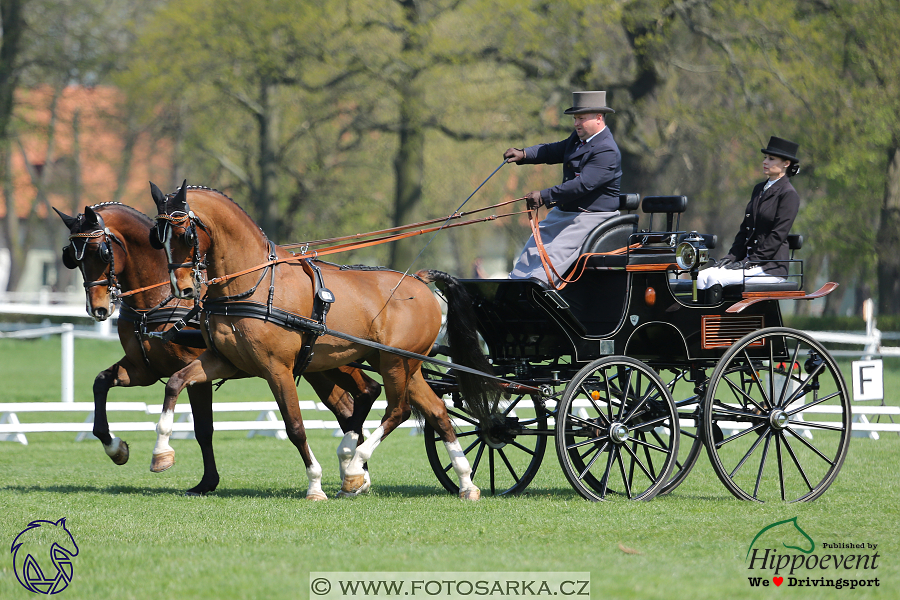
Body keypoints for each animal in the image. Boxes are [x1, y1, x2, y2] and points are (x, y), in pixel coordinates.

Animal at [54, 204, 382, 494]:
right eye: (72, 257)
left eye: (101, 251)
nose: (97, 309)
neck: (160, 299)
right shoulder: (143, 369)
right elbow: (100, 383)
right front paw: (115, 448)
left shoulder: (195, 373)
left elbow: (203, 429)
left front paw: (205, 480)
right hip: (317, 370)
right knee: (349, 405)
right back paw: (355, 472)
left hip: (335, 363)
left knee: (366, 393)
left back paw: (355, 468)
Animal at [151, 184, 496, 502]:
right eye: (158, 238)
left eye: (185, 235)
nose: (182, 289)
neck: (251, 286)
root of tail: (419, 280)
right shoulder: (224, 361)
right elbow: (176, 382)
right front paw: (161, 453)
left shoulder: (277, 369)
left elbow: (295, 427)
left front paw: (315, 485)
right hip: (400, 364)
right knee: (436, 412)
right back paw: (465, 483)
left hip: (396, 363)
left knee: (398, 410)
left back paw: (354, 467)